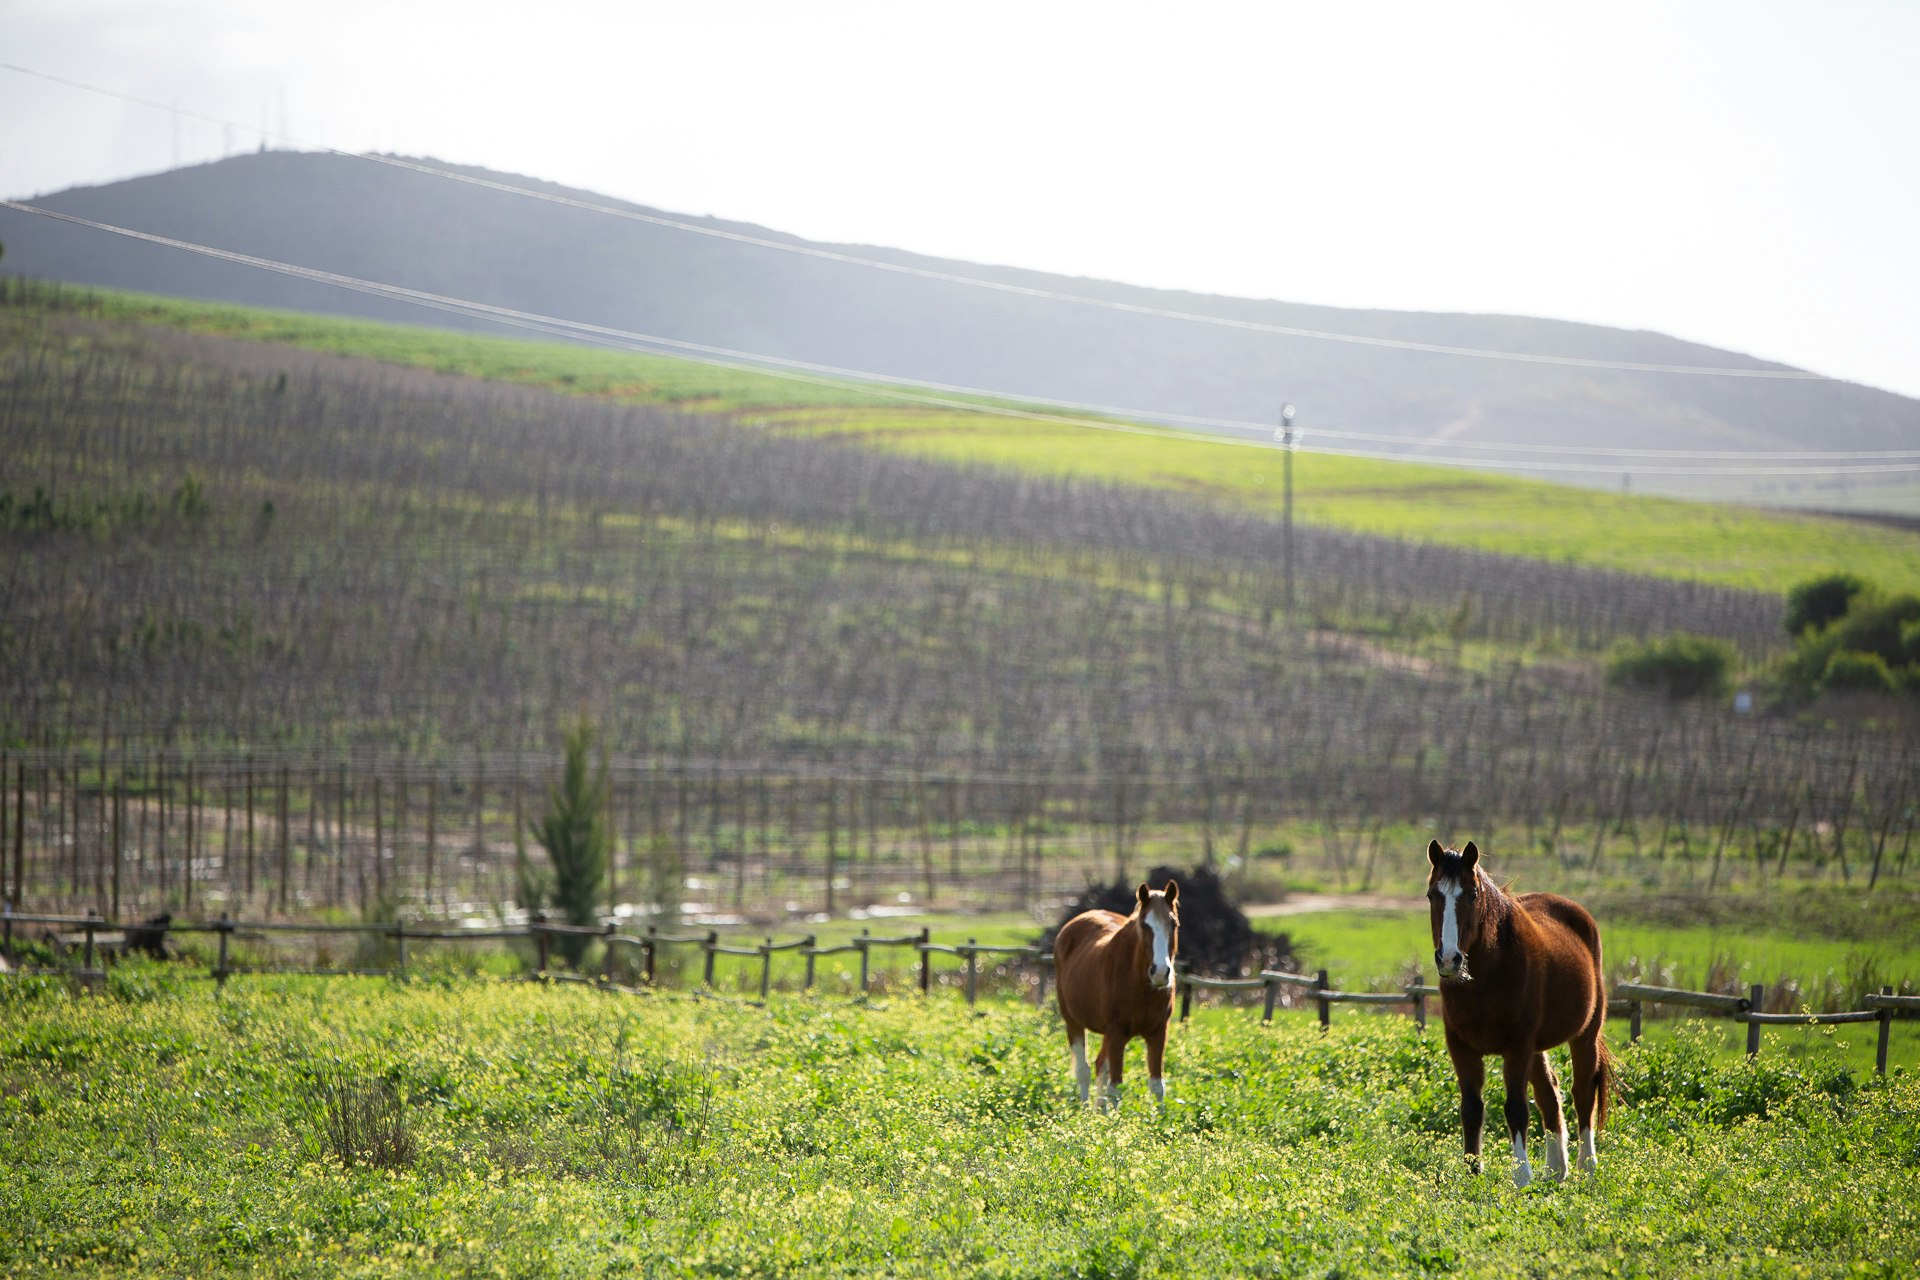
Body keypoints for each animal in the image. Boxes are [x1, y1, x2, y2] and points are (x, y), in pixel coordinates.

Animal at [1053, 879, 1180, 1107]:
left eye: (1173, 924)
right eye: (1145, 924)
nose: (1159, 972)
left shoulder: (1158, 1033)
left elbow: (1157, 1086)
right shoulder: (1117, 1033)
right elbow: (1116, 1088)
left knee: (1100, 1067)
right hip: (1073, 1022)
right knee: (1083, 1070)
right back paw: (1084, 1109)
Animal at [1426, 839, 1610, 1187]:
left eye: (1472, 894)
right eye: (1432, 894)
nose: (1449, 959)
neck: (1488, 976)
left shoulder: (1516, 1048)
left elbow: (1515, 1109)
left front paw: (1521, 1175)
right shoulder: (1462, 1048)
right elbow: (1471, 1108)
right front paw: (1473, 1172)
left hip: (1584, 1035)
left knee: (1583, 1093)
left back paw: (1587, 1165)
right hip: (1536, 1049)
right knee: (1550, 1094)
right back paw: (1556, 1169)